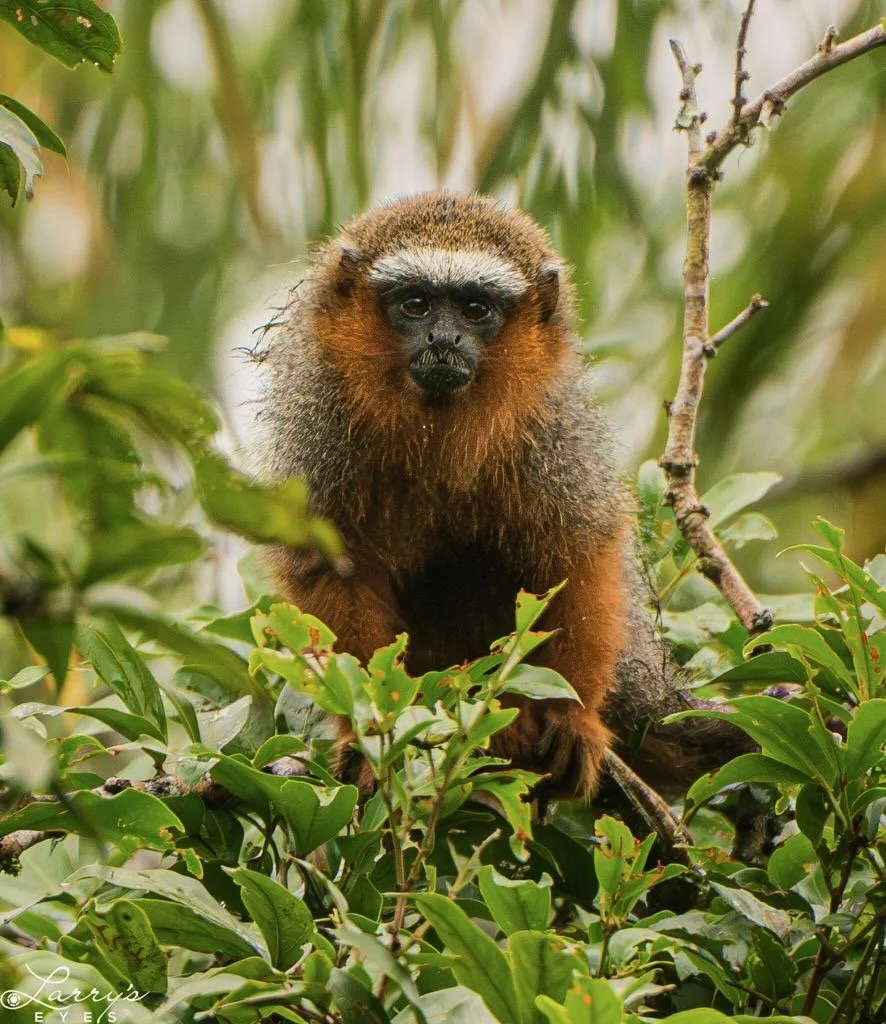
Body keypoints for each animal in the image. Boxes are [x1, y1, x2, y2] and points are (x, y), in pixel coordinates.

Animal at [259, 191, 750, 800]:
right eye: (416, 305)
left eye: (475, 310)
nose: (444, 340)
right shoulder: (322, 427)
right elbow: (326, 565)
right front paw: (372, 731)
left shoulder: (552, 435)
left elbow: (577, 557)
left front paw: (572, 717)